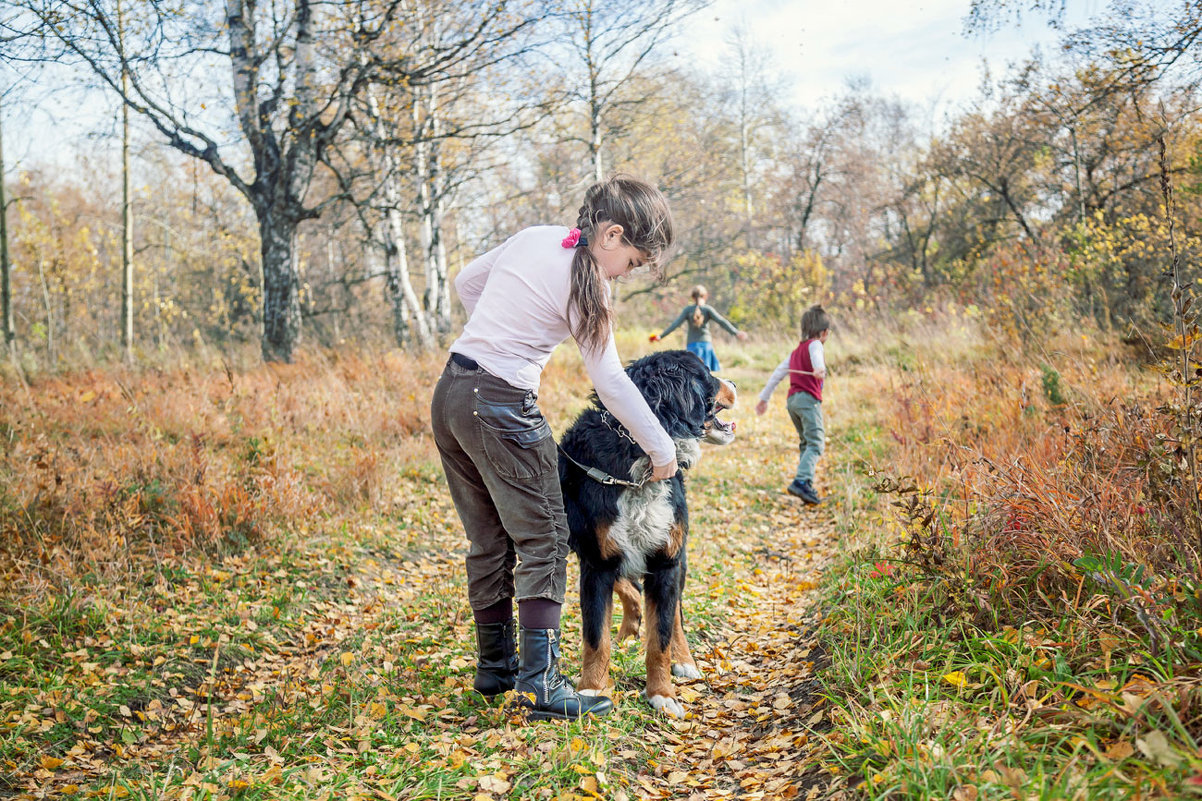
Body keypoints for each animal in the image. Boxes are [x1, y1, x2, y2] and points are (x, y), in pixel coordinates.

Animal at [557, 348, 735, 716]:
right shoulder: (597, 562)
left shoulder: (666, 561)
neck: (641, 459)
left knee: (673, 612)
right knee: (630, 588)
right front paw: (591, 689)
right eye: (708, 375)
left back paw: (683, 659)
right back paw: (628, 630)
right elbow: (596, 638)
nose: (734, 383)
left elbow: (662, 637)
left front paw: (662, 694)